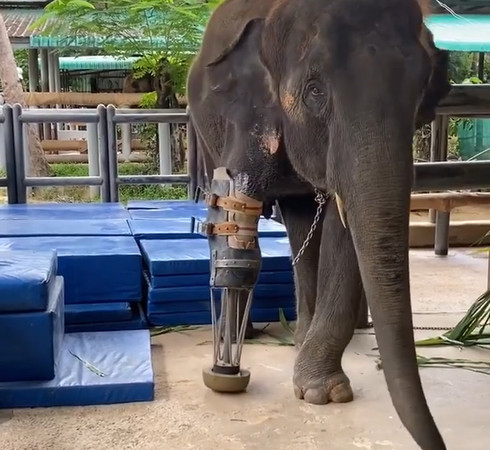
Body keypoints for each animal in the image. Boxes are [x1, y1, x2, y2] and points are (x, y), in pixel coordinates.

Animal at [187, 0, 452, 450]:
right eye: (315, 91)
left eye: (420, 90)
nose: (439, 442)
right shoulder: (247, 118)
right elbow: (234, 222)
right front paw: (231, 366)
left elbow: (342, 233)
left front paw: (321, 392)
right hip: (204, 134)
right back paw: (246, 337)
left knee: (300, 224)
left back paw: (298, 341)